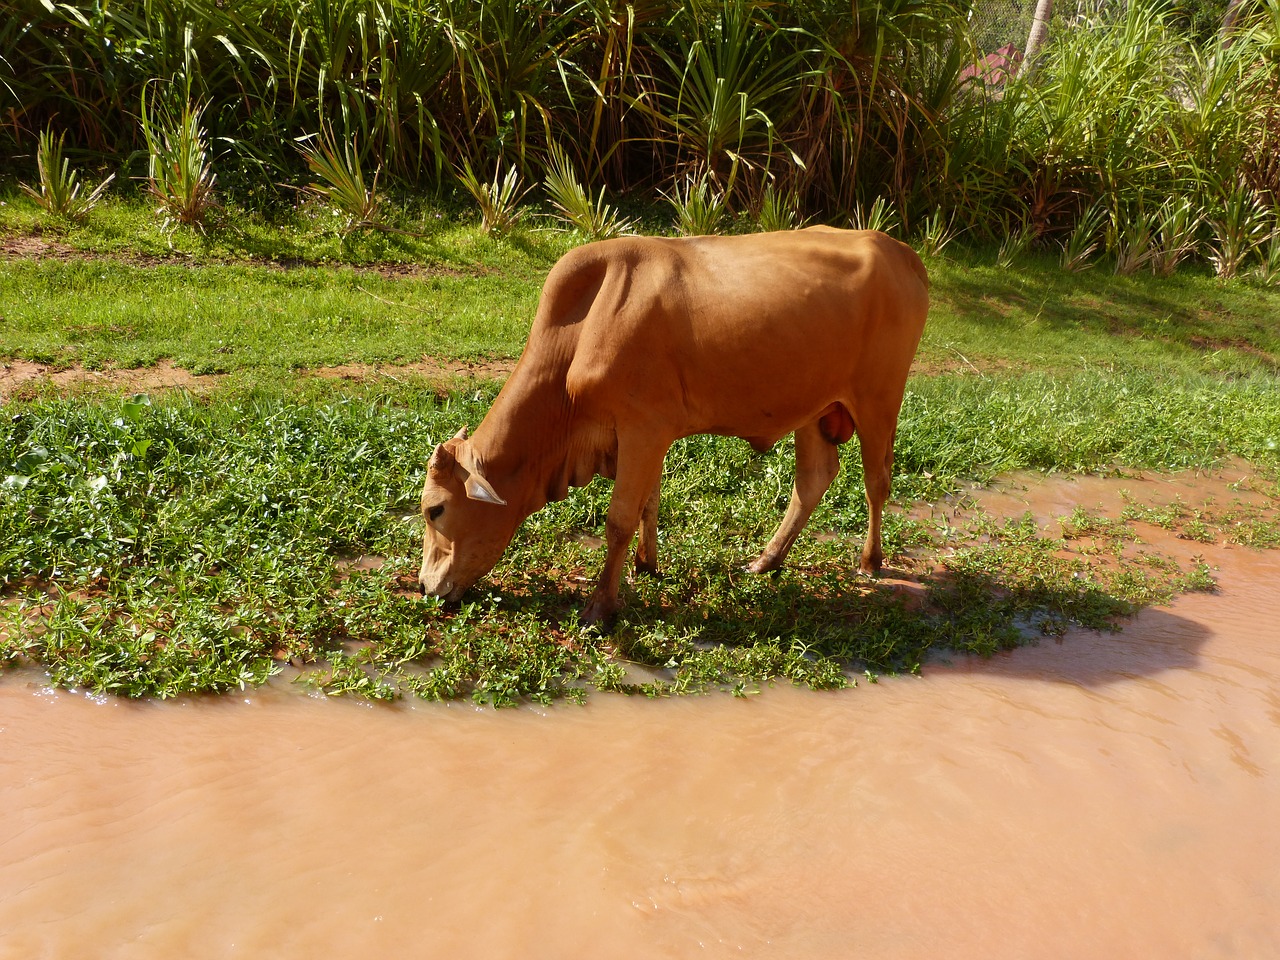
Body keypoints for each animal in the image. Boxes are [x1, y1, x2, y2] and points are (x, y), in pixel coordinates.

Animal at [419, 229, 931, 627]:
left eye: (434, 510)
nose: (425, 586)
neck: (582, 329)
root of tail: (900, 251)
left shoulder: (642, 429)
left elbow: (620, 519)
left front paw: (600, 608)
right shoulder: (647, 435)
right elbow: (649, 502)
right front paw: (646, 565)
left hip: (879, 398)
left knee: (877, 481)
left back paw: (870, 561)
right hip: (814, 408)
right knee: (814, 479)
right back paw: (767, 560)